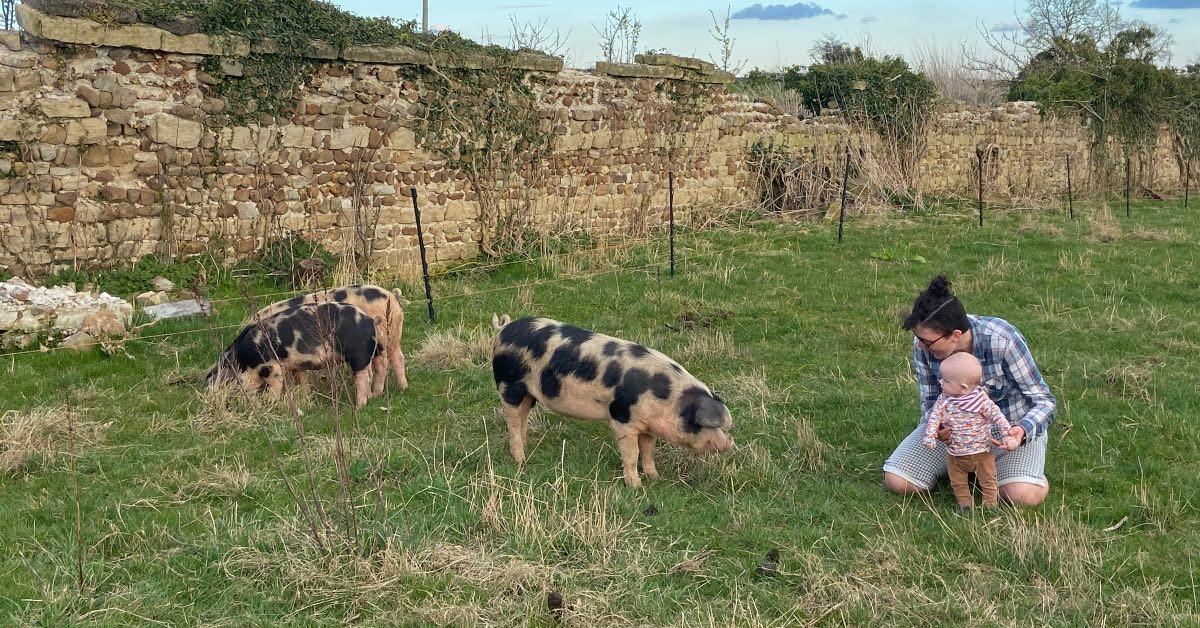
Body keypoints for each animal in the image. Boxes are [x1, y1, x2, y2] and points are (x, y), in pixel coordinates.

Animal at [208, 303, 386, 410]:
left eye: (224, 383)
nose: (217, 402)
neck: (244, 362)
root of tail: (370, 320)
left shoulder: (273, 366)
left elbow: (275, 385)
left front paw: (270, 402)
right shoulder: (296, 364)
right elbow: (302, 379)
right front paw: (306, 395)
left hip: (357, 352)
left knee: (363, 377)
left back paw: (359, 405)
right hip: (376, 348)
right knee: (378, 368)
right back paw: (375, 396)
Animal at [252, 284, 408, 393]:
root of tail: (392, 296)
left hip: (384, 337)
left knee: (385, 361)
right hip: (393, 336)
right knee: (398, 356)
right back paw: (402, 388)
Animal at [487, 317, 729, 489]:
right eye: (702, 425)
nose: (729, 443)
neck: (667, 397)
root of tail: (503, 330)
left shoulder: (647, 425)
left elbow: (648, 450)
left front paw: (655, 477)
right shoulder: (622, 418)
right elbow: (632, 453)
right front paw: (637, 487)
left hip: (529, 394)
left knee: (522, 416)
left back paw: (526, 450)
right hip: (509, 384)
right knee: (512, 421)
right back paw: (520, 460)